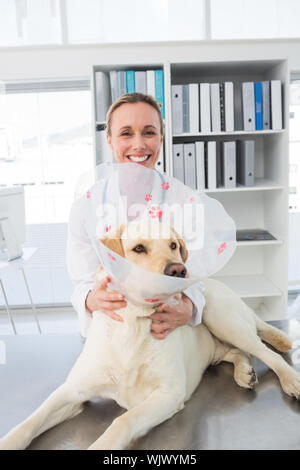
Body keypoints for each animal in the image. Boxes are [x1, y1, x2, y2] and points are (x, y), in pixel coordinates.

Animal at [0, 222, 300, 450]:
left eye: (173, 245)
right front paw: (9, 440)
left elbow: (122, 421)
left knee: (266, 352)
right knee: (238, 352)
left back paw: (290, 380)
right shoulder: (72, 391)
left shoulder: (169, 394)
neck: (132, 325)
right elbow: (29, 422)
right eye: (139, 248)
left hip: (220, 316)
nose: (179, 270)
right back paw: (244, 372)